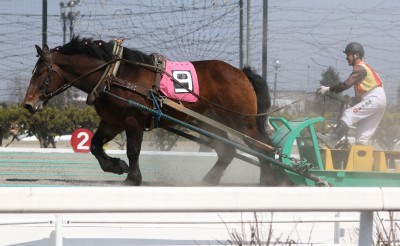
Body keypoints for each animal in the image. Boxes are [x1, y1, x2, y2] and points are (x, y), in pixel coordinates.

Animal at [22, 37, 278, 184]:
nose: (28, 103)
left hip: (242, 122)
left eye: (41, 73)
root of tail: (242, 73)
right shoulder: (112, 122)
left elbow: (133, 150)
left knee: (264, 147)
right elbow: (95, 145)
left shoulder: (132, 119)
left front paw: (133, 178)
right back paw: (210, 180)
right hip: (208, 122)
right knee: (228, 152)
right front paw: (115, 167)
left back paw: (270, 179)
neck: (114, 74)